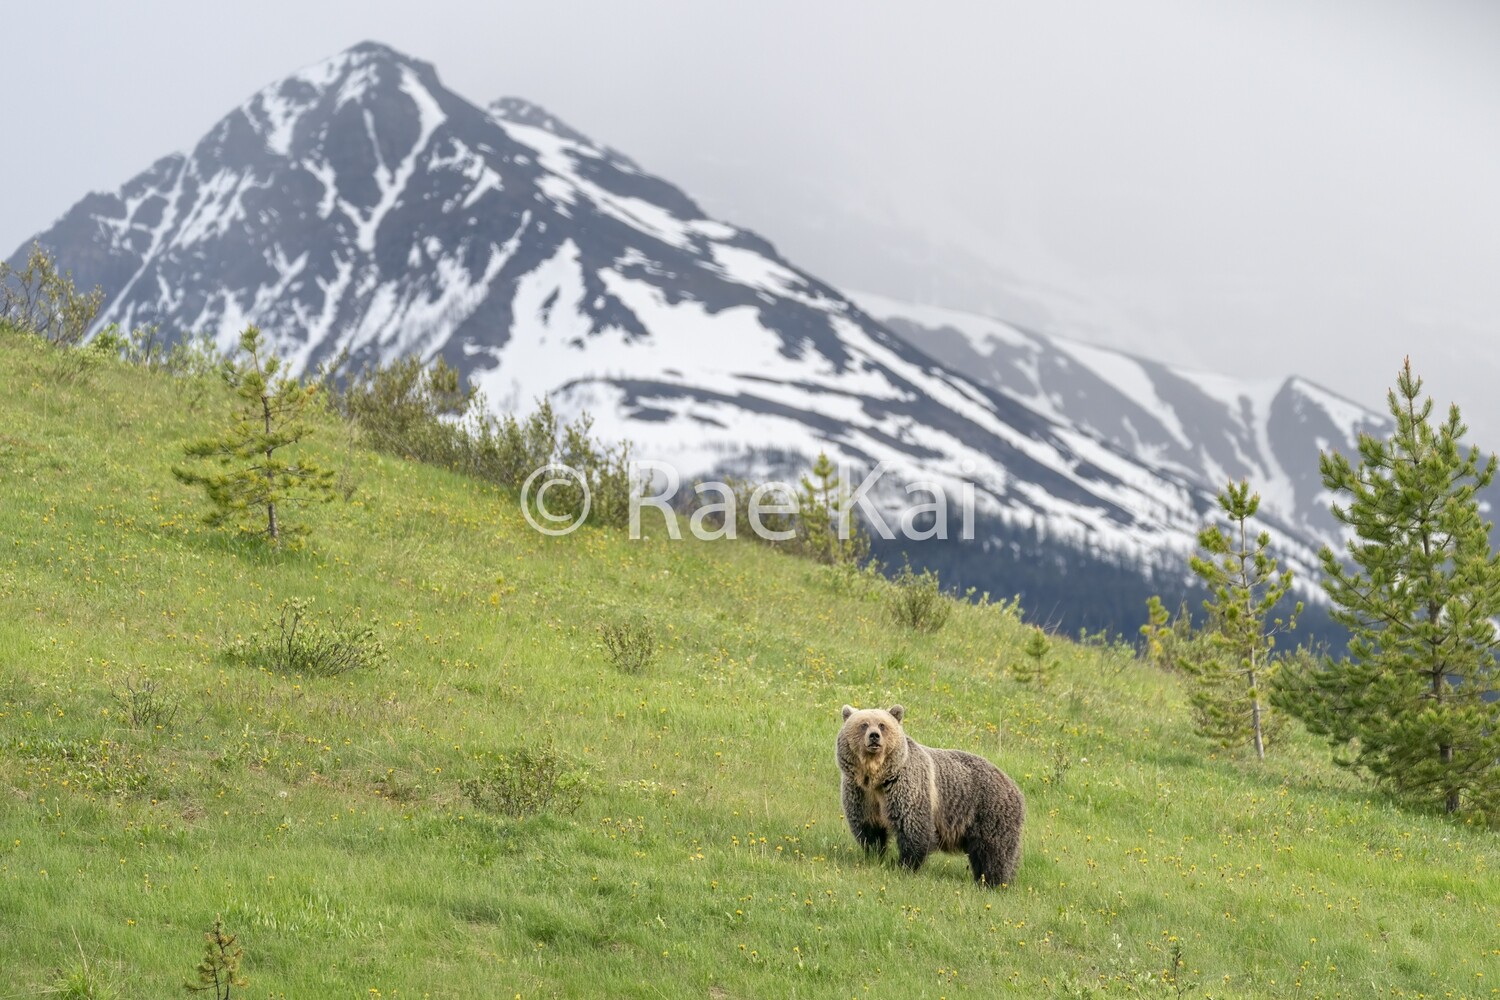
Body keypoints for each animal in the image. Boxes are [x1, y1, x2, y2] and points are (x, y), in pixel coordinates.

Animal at [836, 704, 1024, 887]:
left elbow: (913, 828)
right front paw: (875, 856)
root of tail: (1015, 787)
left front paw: (904, 866)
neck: (877, 778)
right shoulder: (861, 794)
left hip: (989, 811)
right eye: (864, 724)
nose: (874, 736)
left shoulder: (906, 787)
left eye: (882, 725)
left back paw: (993, 882)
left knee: (994, 851)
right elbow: (869, 829)